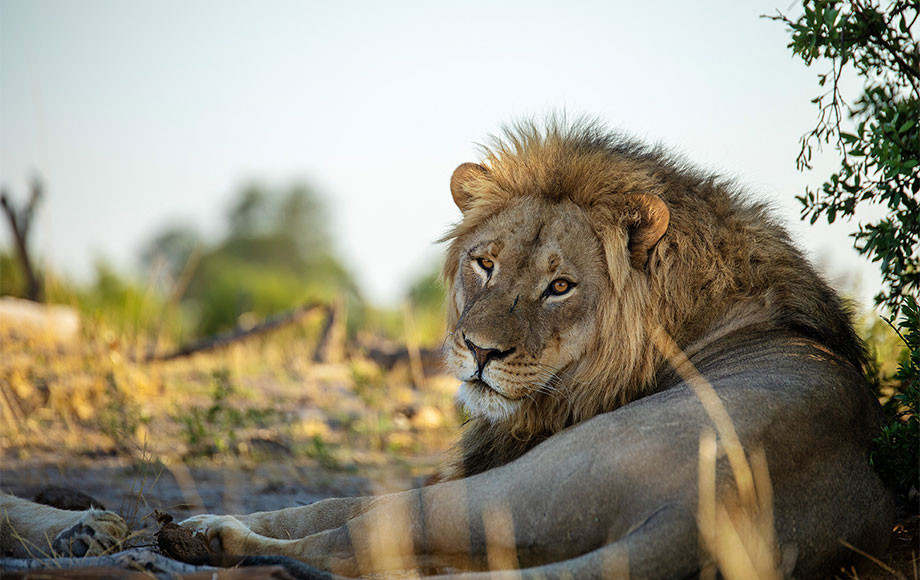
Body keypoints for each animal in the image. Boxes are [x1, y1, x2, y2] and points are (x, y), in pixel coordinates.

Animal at [0, 120, 892, 576]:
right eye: (484, 263)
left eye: (560, 287)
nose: (478, 352)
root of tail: (714, 515)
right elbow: (321, 500)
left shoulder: (494, 462)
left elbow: (335, 511)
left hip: (523, 487)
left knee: (356, 541)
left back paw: (204, 544)